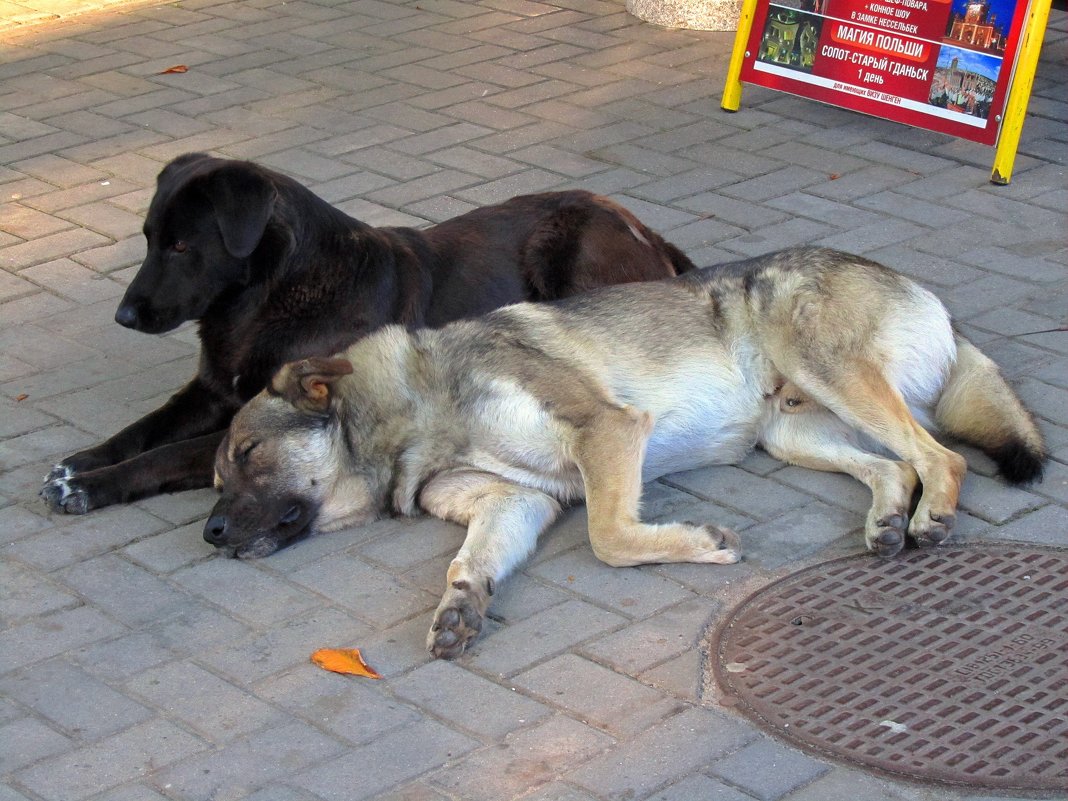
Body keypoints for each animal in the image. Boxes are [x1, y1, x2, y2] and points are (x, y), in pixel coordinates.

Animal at [39, 151, 692, 514]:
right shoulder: (212, 387)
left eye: (182, 247)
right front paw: (80, 462)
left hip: (566, 244)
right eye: (150, 239)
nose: (124, 316)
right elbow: (143, 429)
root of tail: (646, 230)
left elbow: (166, 453)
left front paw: (89, 487)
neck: (267, 297)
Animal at [206, 249, 1042, 657]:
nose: (208, 533)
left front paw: (700, 543)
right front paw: (461, 605)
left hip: (824, 370)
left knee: (942, 458)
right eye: (217, 474)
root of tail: (929, 297)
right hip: (793, 428)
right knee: (897, 465)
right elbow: (469, 561)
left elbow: (608, 535)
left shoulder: (606, 430)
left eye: (246, 453)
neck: (419, 406)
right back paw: (888, 522)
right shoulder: (517, 501)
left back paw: (931, 520)